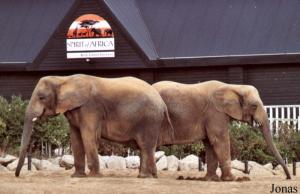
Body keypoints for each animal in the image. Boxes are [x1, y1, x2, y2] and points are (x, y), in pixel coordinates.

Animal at [15, 75, 173, 178]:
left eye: (41, 97)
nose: (17, 176)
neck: (63, 79)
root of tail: (162, 103)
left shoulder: (90, 108)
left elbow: (88, 135)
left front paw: (94, 175)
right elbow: (75, 138)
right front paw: (77, 176)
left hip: (150, 120)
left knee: (146, 146)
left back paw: (146, 177)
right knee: (145, 147)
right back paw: (147, 176)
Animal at [152, 79, 290, 181]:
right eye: (254, 106)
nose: (287, 178)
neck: (233, 87)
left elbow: (210, 143)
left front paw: (212, 179)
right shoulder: (215, 113)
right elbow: (219, 140)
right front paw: (232, 179)